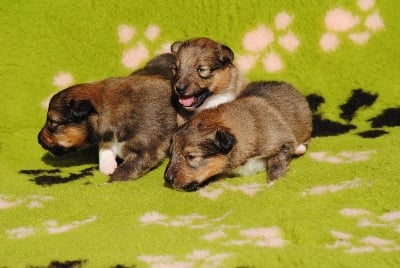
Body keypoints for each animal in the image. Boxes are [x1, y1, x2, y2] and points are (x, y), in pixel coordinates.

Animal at [38, 53, 178, 181]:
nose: (38, 139)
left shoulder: (145, 151)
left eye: (53, 123)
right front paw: (108, 166)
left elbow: (123, 172)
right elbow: (103, 148)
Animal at [163, 80, 312, 192]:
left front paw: (272, 185)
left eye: (191, 156)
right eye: (171, 154)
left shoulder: (281, 141)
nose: (167, 179)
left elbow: (277, 165)